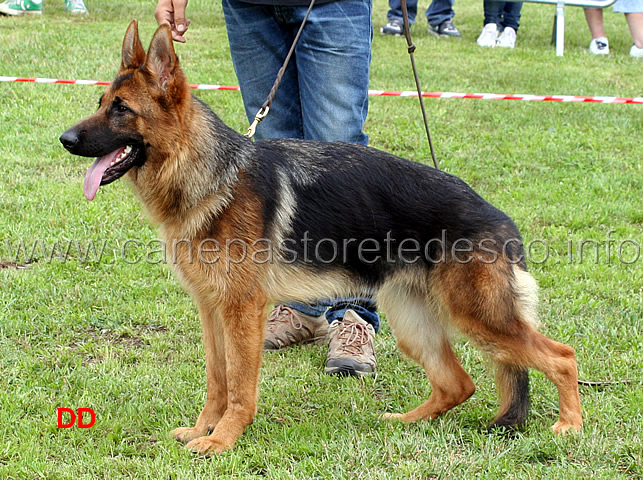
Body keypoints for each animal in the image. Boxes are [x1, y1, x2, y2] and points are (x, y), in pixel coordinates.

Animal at [60, 21, 584, 454]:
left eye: (122, 110)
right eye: (100, 104)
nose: (65, 139)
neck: (207, 173)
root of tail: (499, 218)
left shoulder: (242, 311)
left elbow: (240, 388)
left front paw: (223, 439)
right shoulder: (212, 309)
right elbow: (217, 379)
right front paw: (202, 428)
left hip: (478, 317)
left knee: (562, 356)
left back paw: (569, 427)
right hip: (414, 321)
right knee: (459, 384)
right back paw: (405, 421)